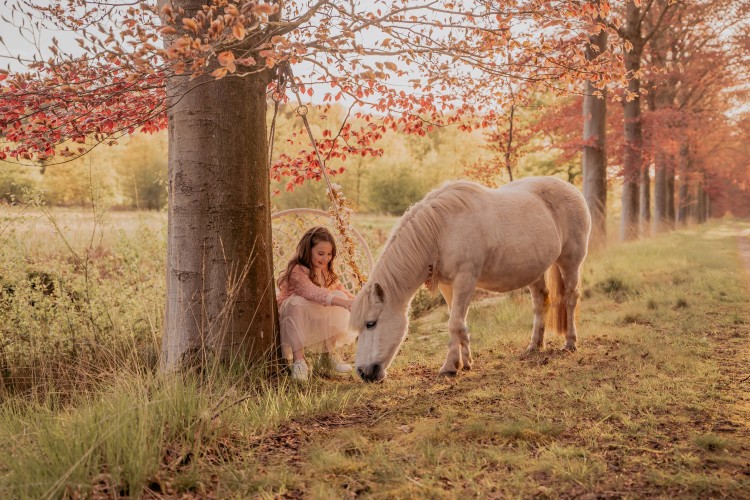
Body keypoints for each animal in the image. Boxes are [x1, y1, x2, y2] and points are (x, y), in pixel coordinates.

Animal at [352, 176, 592, 382]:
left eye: (371, 323)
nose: (364, 373)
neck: (441, 229)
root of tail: (572, 189)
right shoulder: (448, 286)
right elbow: (457, 322)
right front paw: (464, 362)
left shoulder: (465, 279)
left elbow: (454, 323)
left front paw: (449, 367)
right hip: (535, 270)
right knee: (541, 301)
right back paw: (535, 345)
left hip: (570, 261)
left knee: (571, 298)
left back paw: (570, 343)